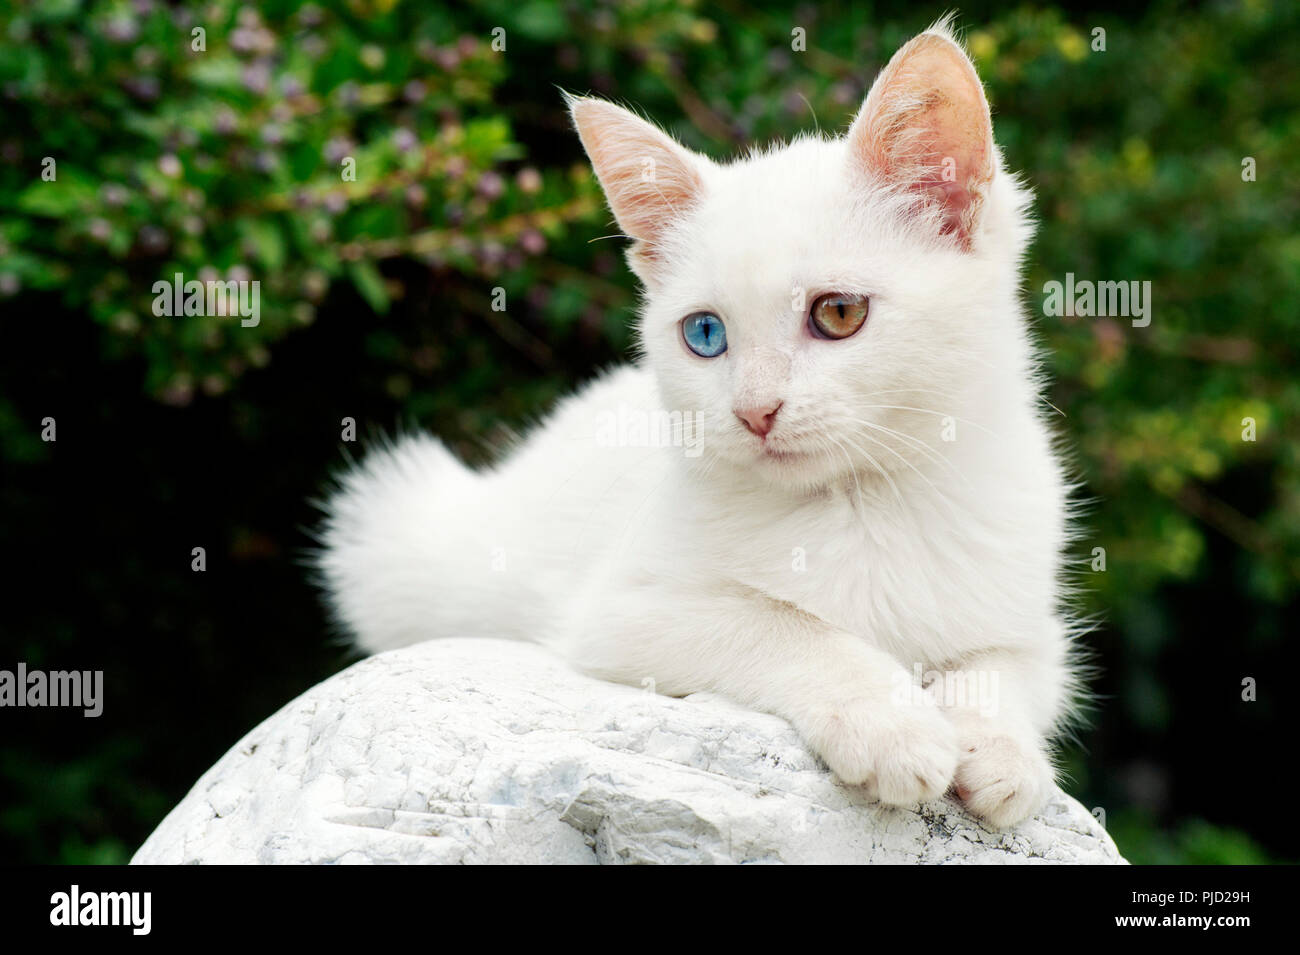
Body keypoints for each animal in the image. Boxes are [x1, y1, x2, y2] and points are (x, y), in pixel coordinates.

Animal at [317, 22, 1086, 831]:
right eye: (705, 334)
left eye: (838, 313)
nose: (754, 411)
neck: (860, 502)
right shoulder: (618, 612)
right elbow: (776, 622)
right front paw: (891, 722)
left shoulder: (1033, 618)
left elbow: (1009, 665)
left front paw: (1000, 751)